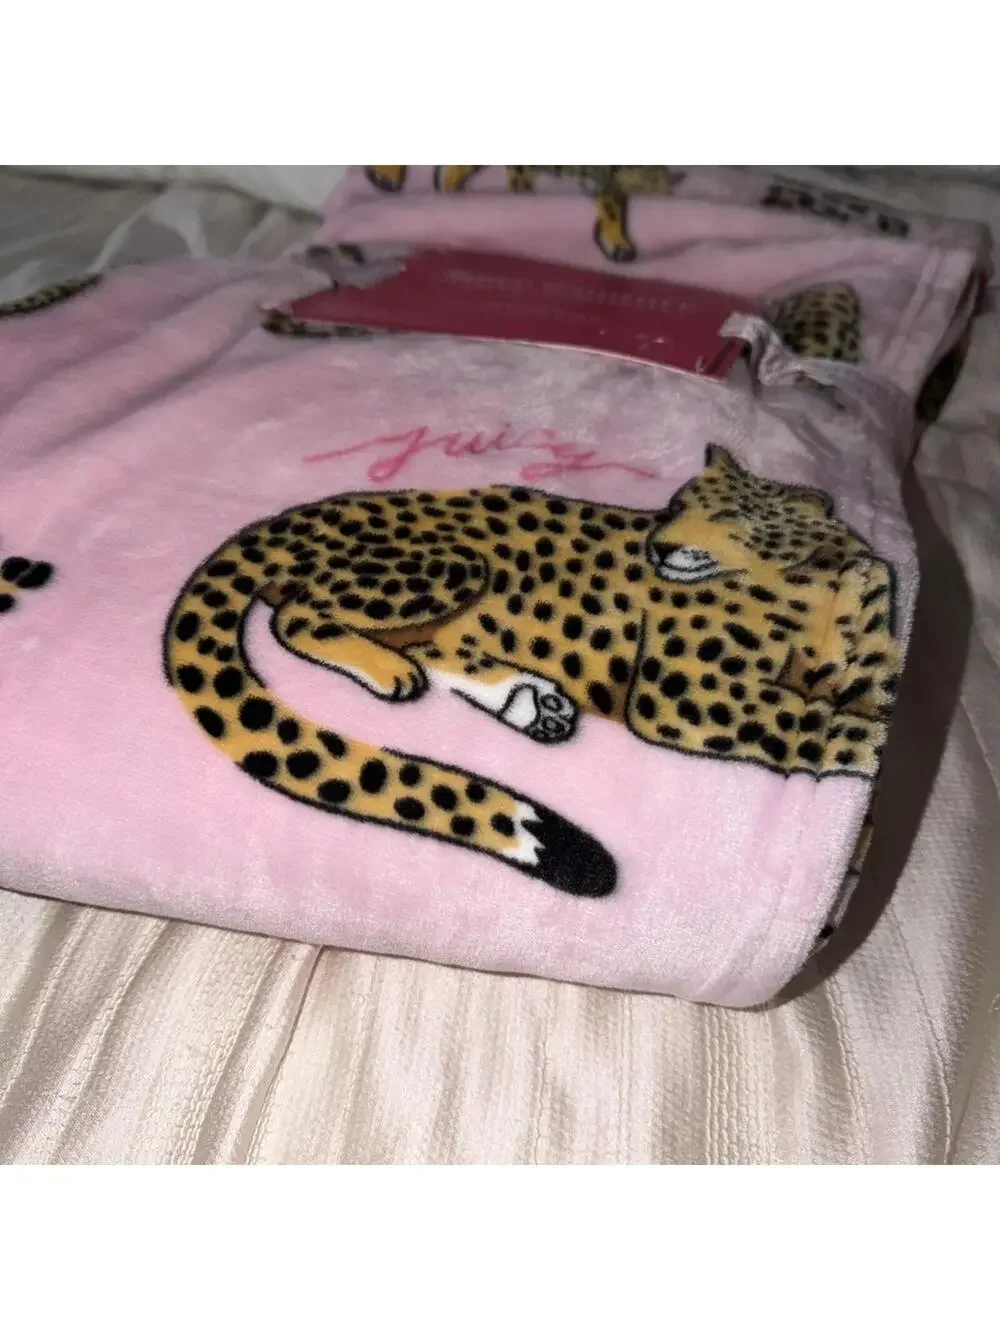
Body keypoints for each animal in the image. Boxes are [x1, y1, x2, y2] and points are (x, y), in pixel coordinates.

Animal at [164, 445, 899, 900]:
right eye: (674, 504)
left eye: (725, 516)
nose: (660, 546)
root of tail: (310, 509)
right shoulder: (682, 695)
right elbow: (810, 725)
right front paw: (861, 750)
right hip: (450, 563)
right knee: (296, 617)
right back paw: (393, 671)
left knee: (433, 641)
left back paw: (527, 699)